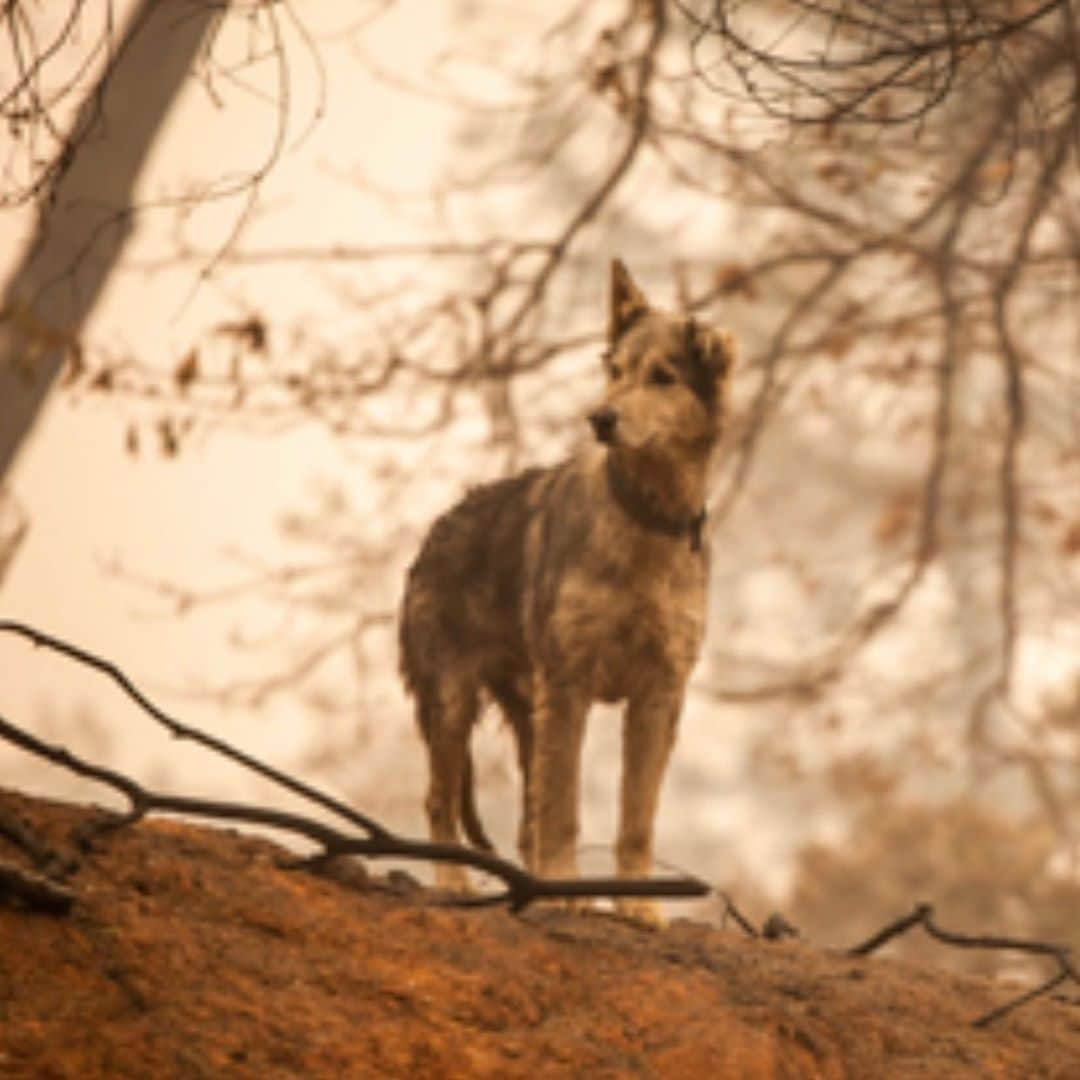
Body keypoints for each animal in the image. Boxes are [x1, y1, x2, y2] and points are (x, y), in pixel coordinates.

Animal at [401, 257, 738, 924]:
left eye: (663, 377)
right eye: (614, 370)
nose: (600, 418)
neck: (646, 523)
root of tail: (441, 527)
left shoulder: (659, 694)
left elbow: (636, 819)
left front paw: (637, 908)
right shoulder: (570, 683)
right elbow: (564, 811)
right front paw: (567, 890)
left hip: (527, 711)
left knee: (523, 821)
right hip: (454, 701)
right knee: (440, 801)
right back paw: (456, 880)